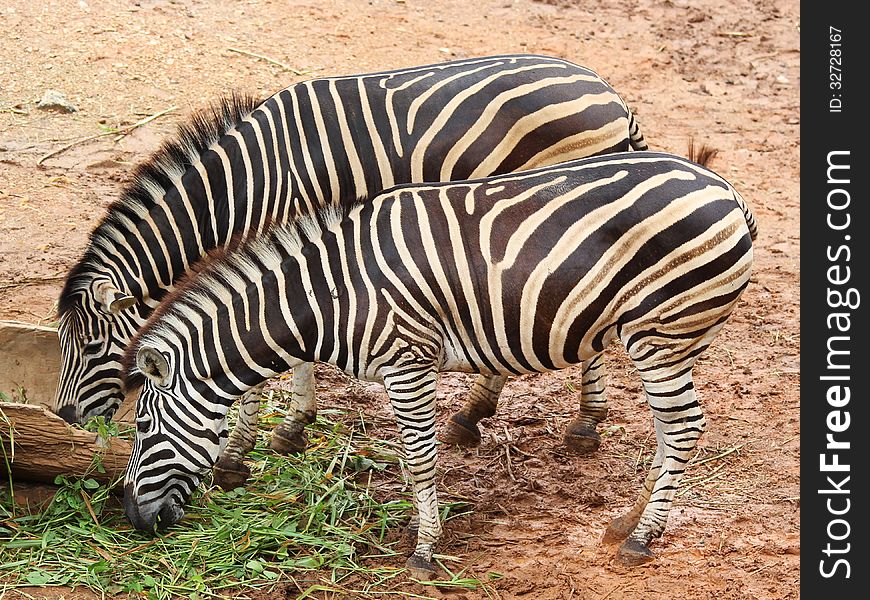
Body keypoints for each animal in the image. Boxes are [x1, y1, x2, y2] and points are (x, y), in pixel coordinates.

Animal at [52, 54, 648, 486]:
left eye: (92, 347)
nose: (64, 417)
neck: (240, 190)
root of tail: (608, 91)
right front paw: (289, 428)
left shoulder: (290, 243)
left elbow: (273, 354)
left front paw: (247, 446)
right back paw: (474, 413)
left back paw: (584, 424)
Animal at [119, 150, 760, 576]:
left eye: (144, 427)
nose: (129, 518)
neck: (329, 296)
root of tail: (725, 190)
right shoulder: (398, 369)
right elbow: (409, 459)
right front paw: (415, 525)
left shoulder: (409, 361)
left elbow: (421, 459)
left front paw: (425, 549)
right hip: (670, 338)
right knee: (668, 430)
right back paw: (629, 520)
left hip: (661, 332)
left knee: (684, 427)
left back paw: (642, 538)